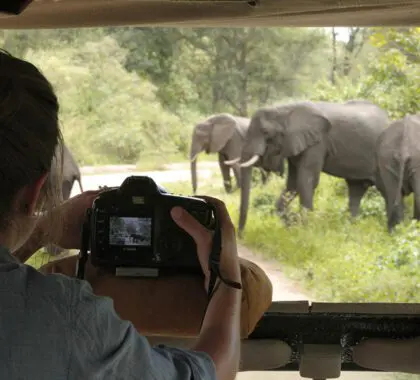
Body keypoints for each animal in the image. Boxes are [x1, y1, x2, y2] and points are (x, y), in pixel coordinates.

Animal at [230, 99, 390, 233]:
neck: (285, 109)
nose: (240, 234)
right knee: (356, 190)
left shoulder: (318, 143)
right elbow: (293, 184)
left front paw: (305, 231)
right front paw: (291, 224)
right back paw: (349, 229)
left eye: (265, 132)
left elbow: (306, 180)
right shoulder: (296, 143)